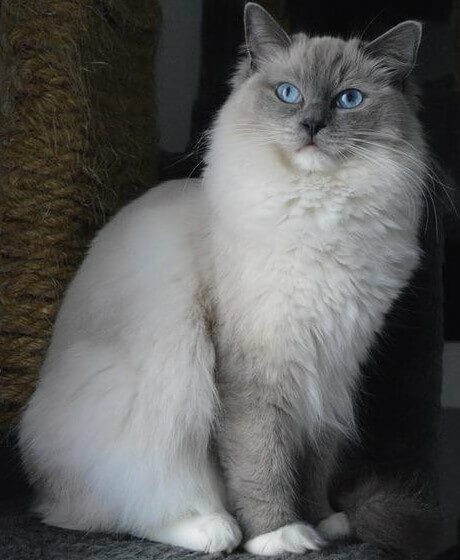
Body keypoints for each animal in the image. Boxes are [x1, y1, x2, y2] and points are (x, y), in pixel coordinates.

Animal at [19, 3, 440, 556]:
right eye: (289, 93)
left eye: (348, 99)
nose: (311, 124)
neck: (320, 215)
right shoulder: (256, 369)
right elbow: (262, 463)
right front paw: (279, 535)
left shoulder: (331, 369)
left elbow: (314, 461)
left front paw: (322, 522)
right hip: (153, 399)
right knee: (119, 510)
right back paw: (216, 529)